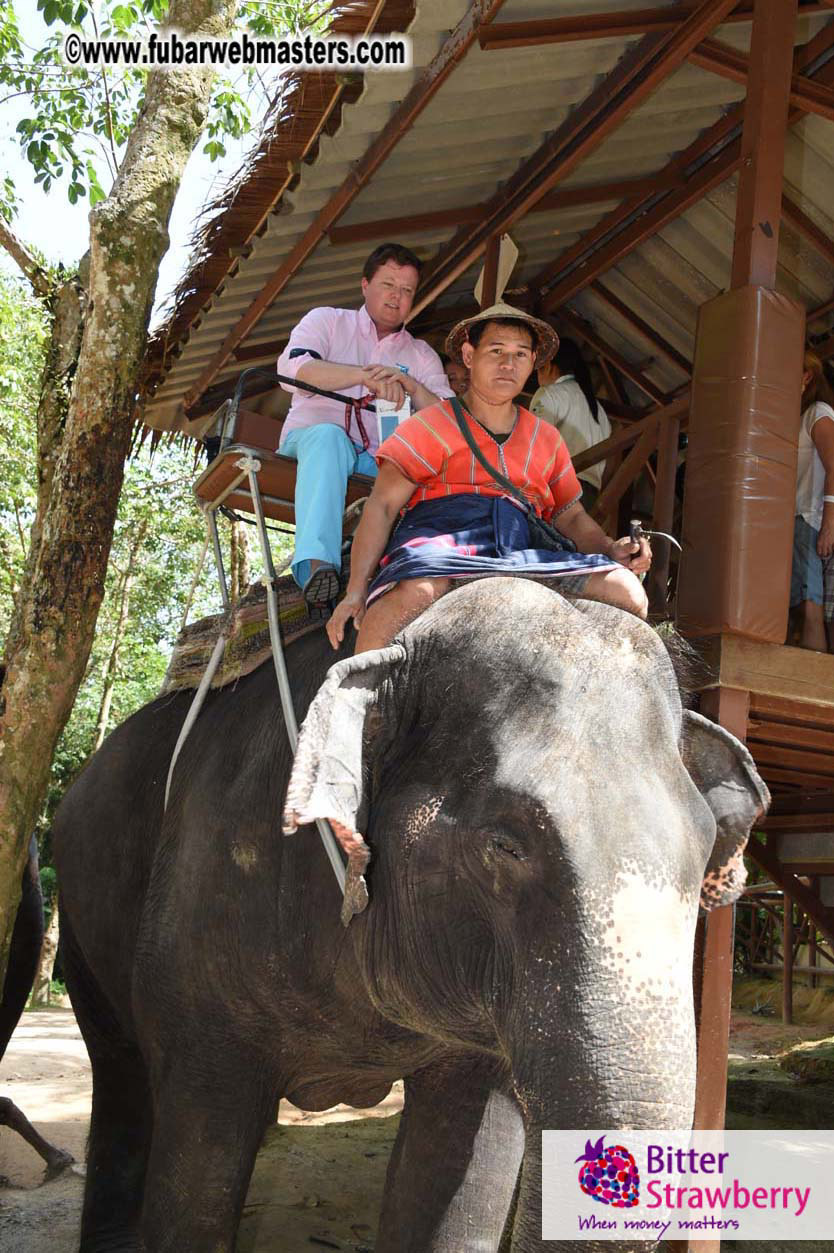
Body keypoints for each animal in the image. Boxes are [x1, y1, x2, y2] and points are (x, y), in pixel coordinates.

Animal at [53, 577, 768, 1252]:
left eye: (704, 854)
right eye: (505, 845)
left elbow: (458, 1171)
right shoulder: (209, 915)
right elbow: (196, 1178)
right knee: (120, 1075)